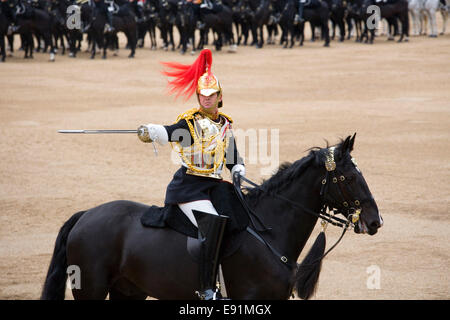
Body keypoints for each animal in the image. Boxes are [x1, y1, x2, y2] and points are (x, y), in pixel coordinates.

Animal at [41, 135, 384, 300]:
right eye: (349, 177)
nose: (375, 221)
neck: (270, 234)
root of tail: (86, 215)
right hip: (92, 291)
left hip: (129, 292)